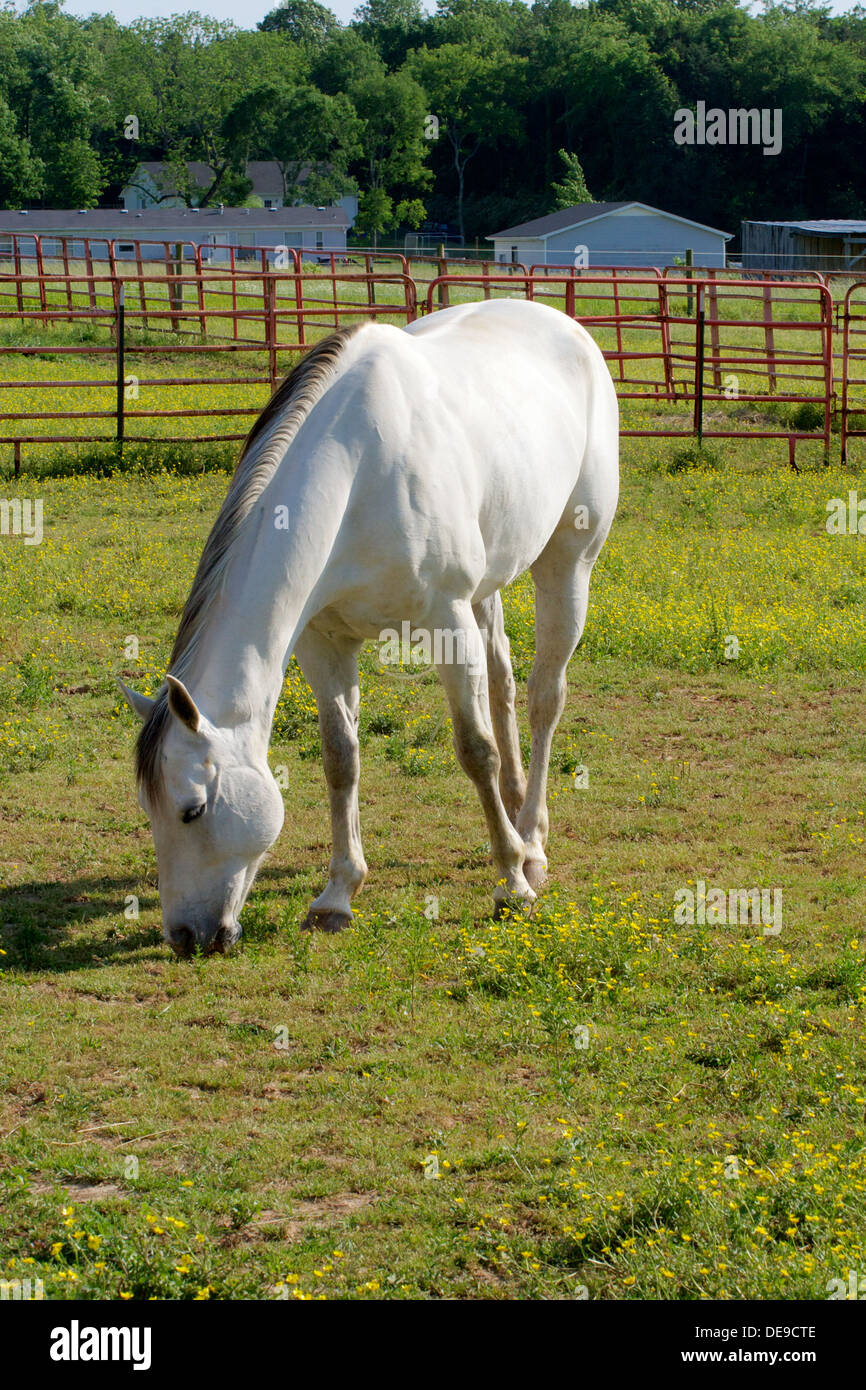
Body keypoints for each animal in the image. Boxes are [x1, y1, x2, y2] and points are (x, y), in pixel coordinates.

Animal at [122, 300, 619, 956]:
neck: (358, 473)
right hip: (490, 582)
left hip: (566, 563)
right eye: (148, 811)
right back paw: (515, 813)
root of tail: (566, 325)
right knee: (504, 683)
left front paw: (511, 883)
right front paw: (337, 894)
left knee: (544, 698)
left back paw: (531, 842)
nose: (186, 937)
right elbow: (341, 757)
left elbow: (474, 749)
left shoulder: (447, 621)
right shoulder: (323, 641)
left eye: (193, 811)